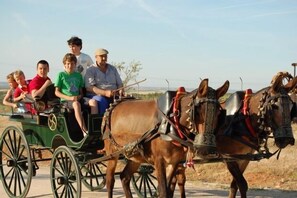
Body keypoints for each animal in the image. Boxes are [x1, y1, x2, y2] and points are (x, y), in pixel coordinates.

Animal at [100, 79, 228, 198]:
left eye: (218, 113)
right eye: (197, 112)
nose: (206, 149)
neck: (171, 122)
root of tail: (115, 104)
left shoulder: (174, 162)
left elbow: (170, 190)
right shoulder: (159, 161)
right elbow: (163, 191)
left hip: (134, 155)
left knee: (124, 177)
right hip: (112, 153)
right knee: (110, 180)